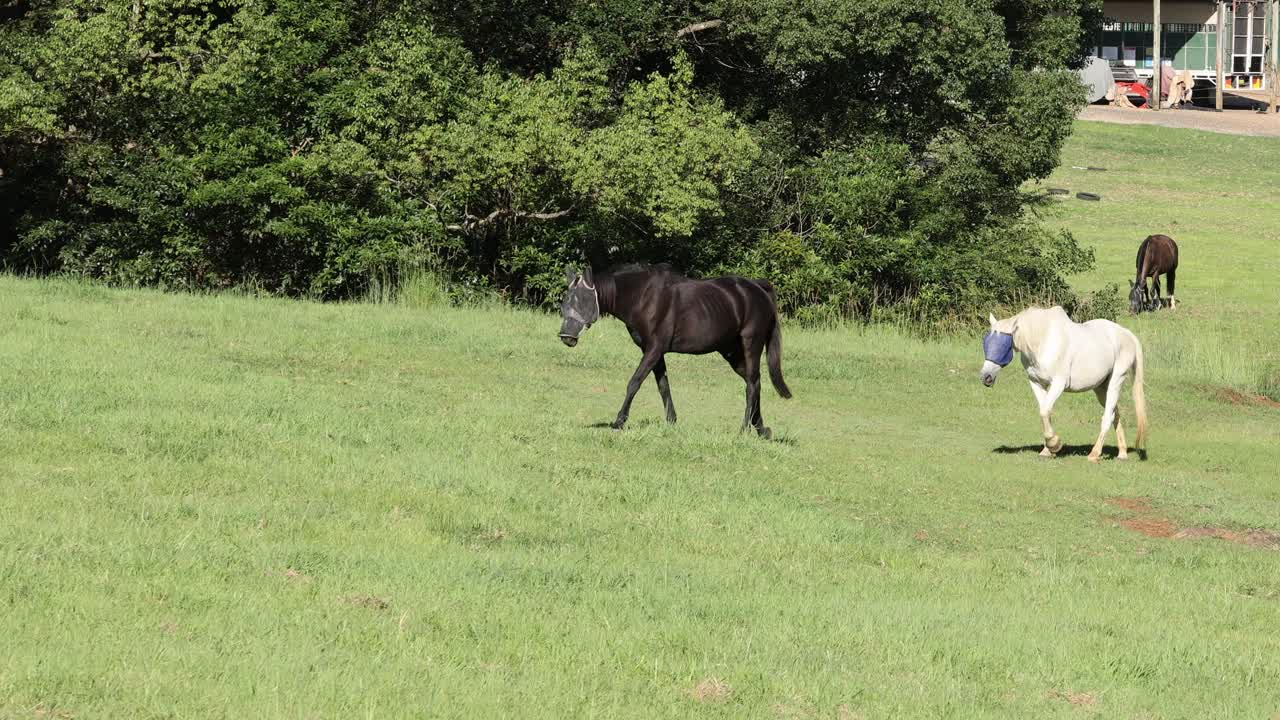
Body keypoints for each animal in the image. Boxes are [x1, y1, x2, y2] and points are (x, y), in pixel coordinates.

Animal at [977, 302, 1152, 458]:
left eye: (1003, 346)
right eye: (986, 343)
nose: (986, 377)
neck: (1044, 341)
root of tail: (1127, 334)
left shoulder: (1058, 384)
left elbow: (1044, 411)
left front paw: (1054, 444)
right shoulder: (1036, 383)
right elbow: (1046, 412)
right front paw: (1048, 450)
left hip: (1116, 381)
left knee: (1108, 417)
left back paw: (1095, 454)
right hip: (1101, 387)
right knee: (1115, 414)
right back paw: (1122, 453)